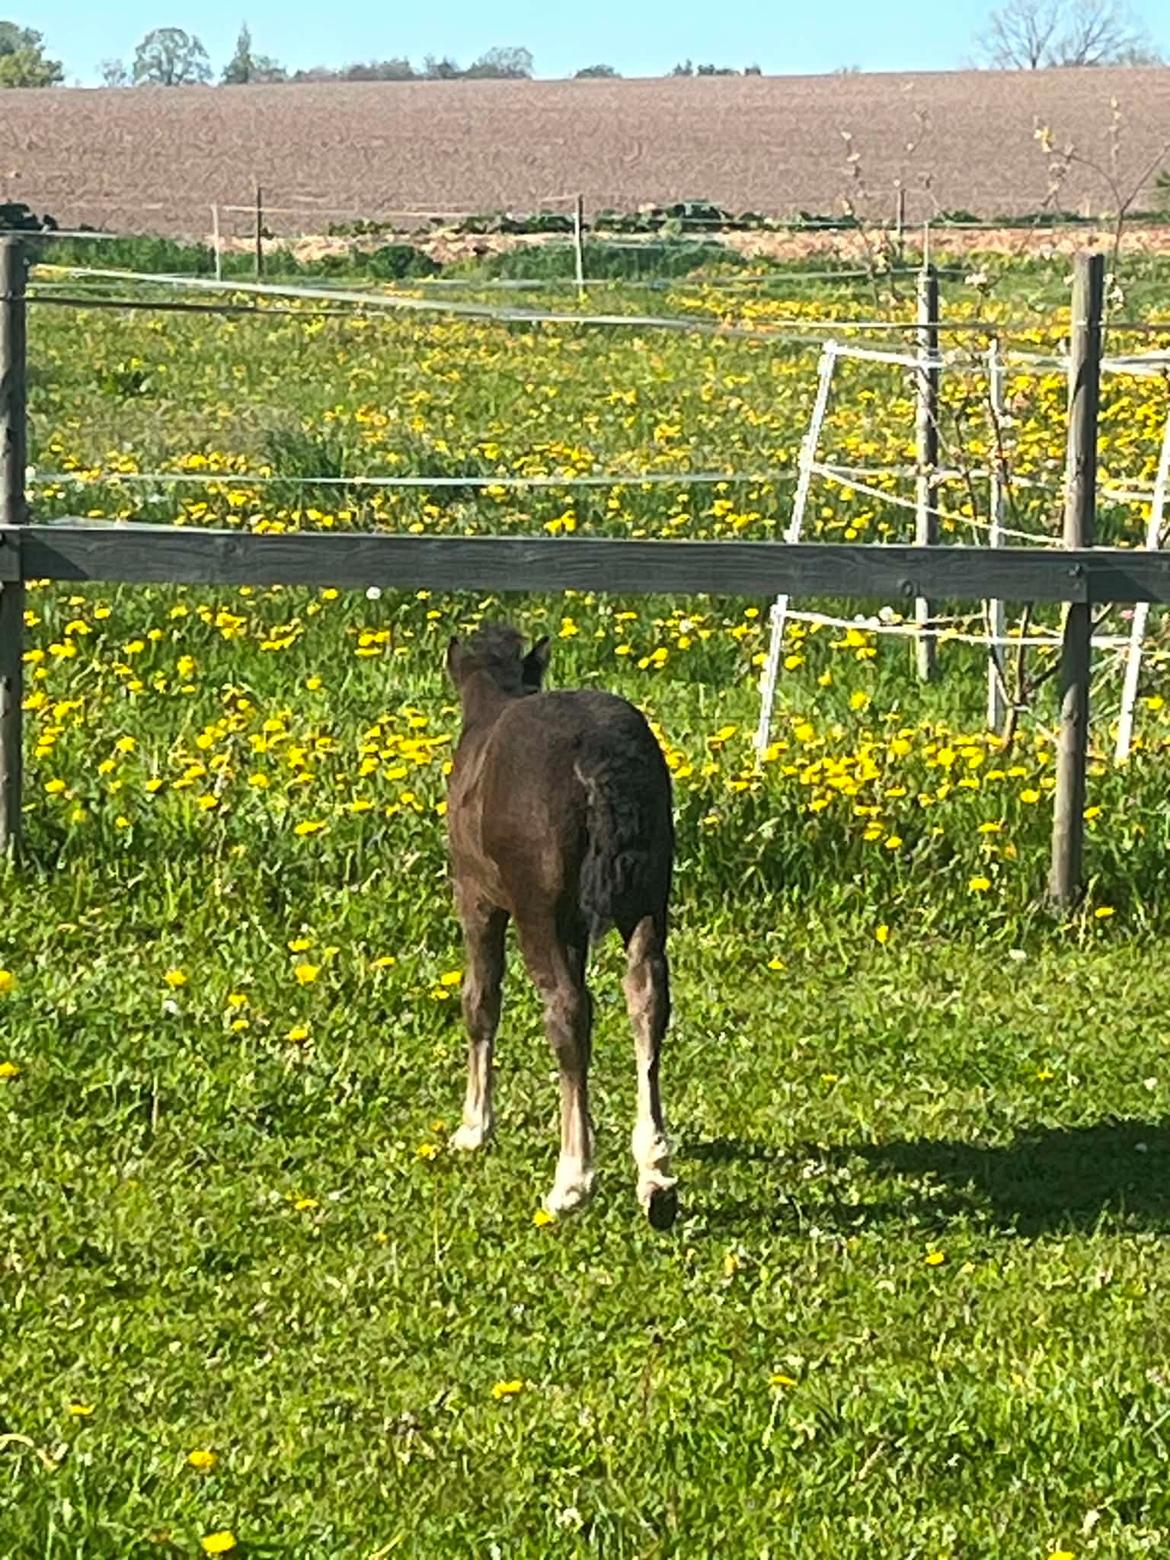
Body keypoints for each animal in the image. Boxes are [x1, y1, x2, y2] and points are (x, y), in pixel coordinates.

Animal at [444, 624, 677, 1228]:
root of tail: (600, 758)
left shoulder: (477, 899)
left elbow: (480, 999)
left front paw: (474, 1126)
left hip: (538, 914)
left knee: (569, 1013)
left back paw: (572, 1178)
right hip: (647, 899)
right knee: (647, 996)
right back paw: (655, 1173)